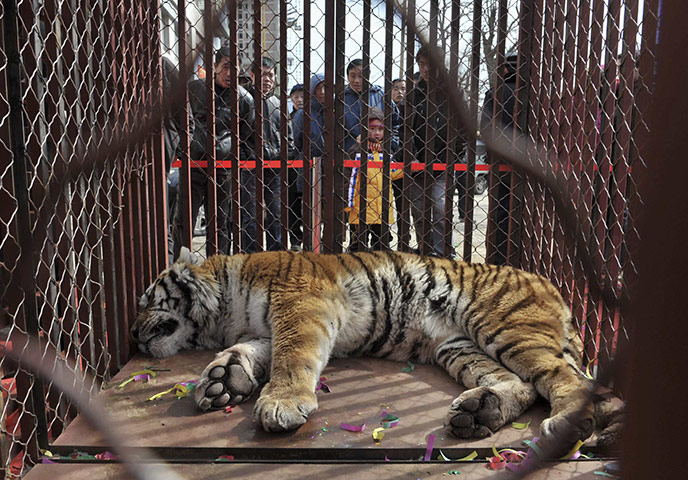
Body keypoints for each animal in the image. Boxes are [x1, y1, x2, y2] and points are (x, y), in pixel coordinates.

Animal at [131, 247, 622, 456]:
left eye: (147, 300)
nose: (134, 335)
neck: (224, 307)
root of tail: (555, 290)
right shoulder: (263, 330)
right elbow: (247, 351)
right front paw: (223, 380)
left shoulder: (301, 303)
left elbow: (293, 357)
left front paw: (281, 404)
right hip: (457, 346)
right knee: (520, 383)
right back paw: (480, 412)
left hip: (503, 326)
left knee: (567, 379)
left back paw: (563, 424)